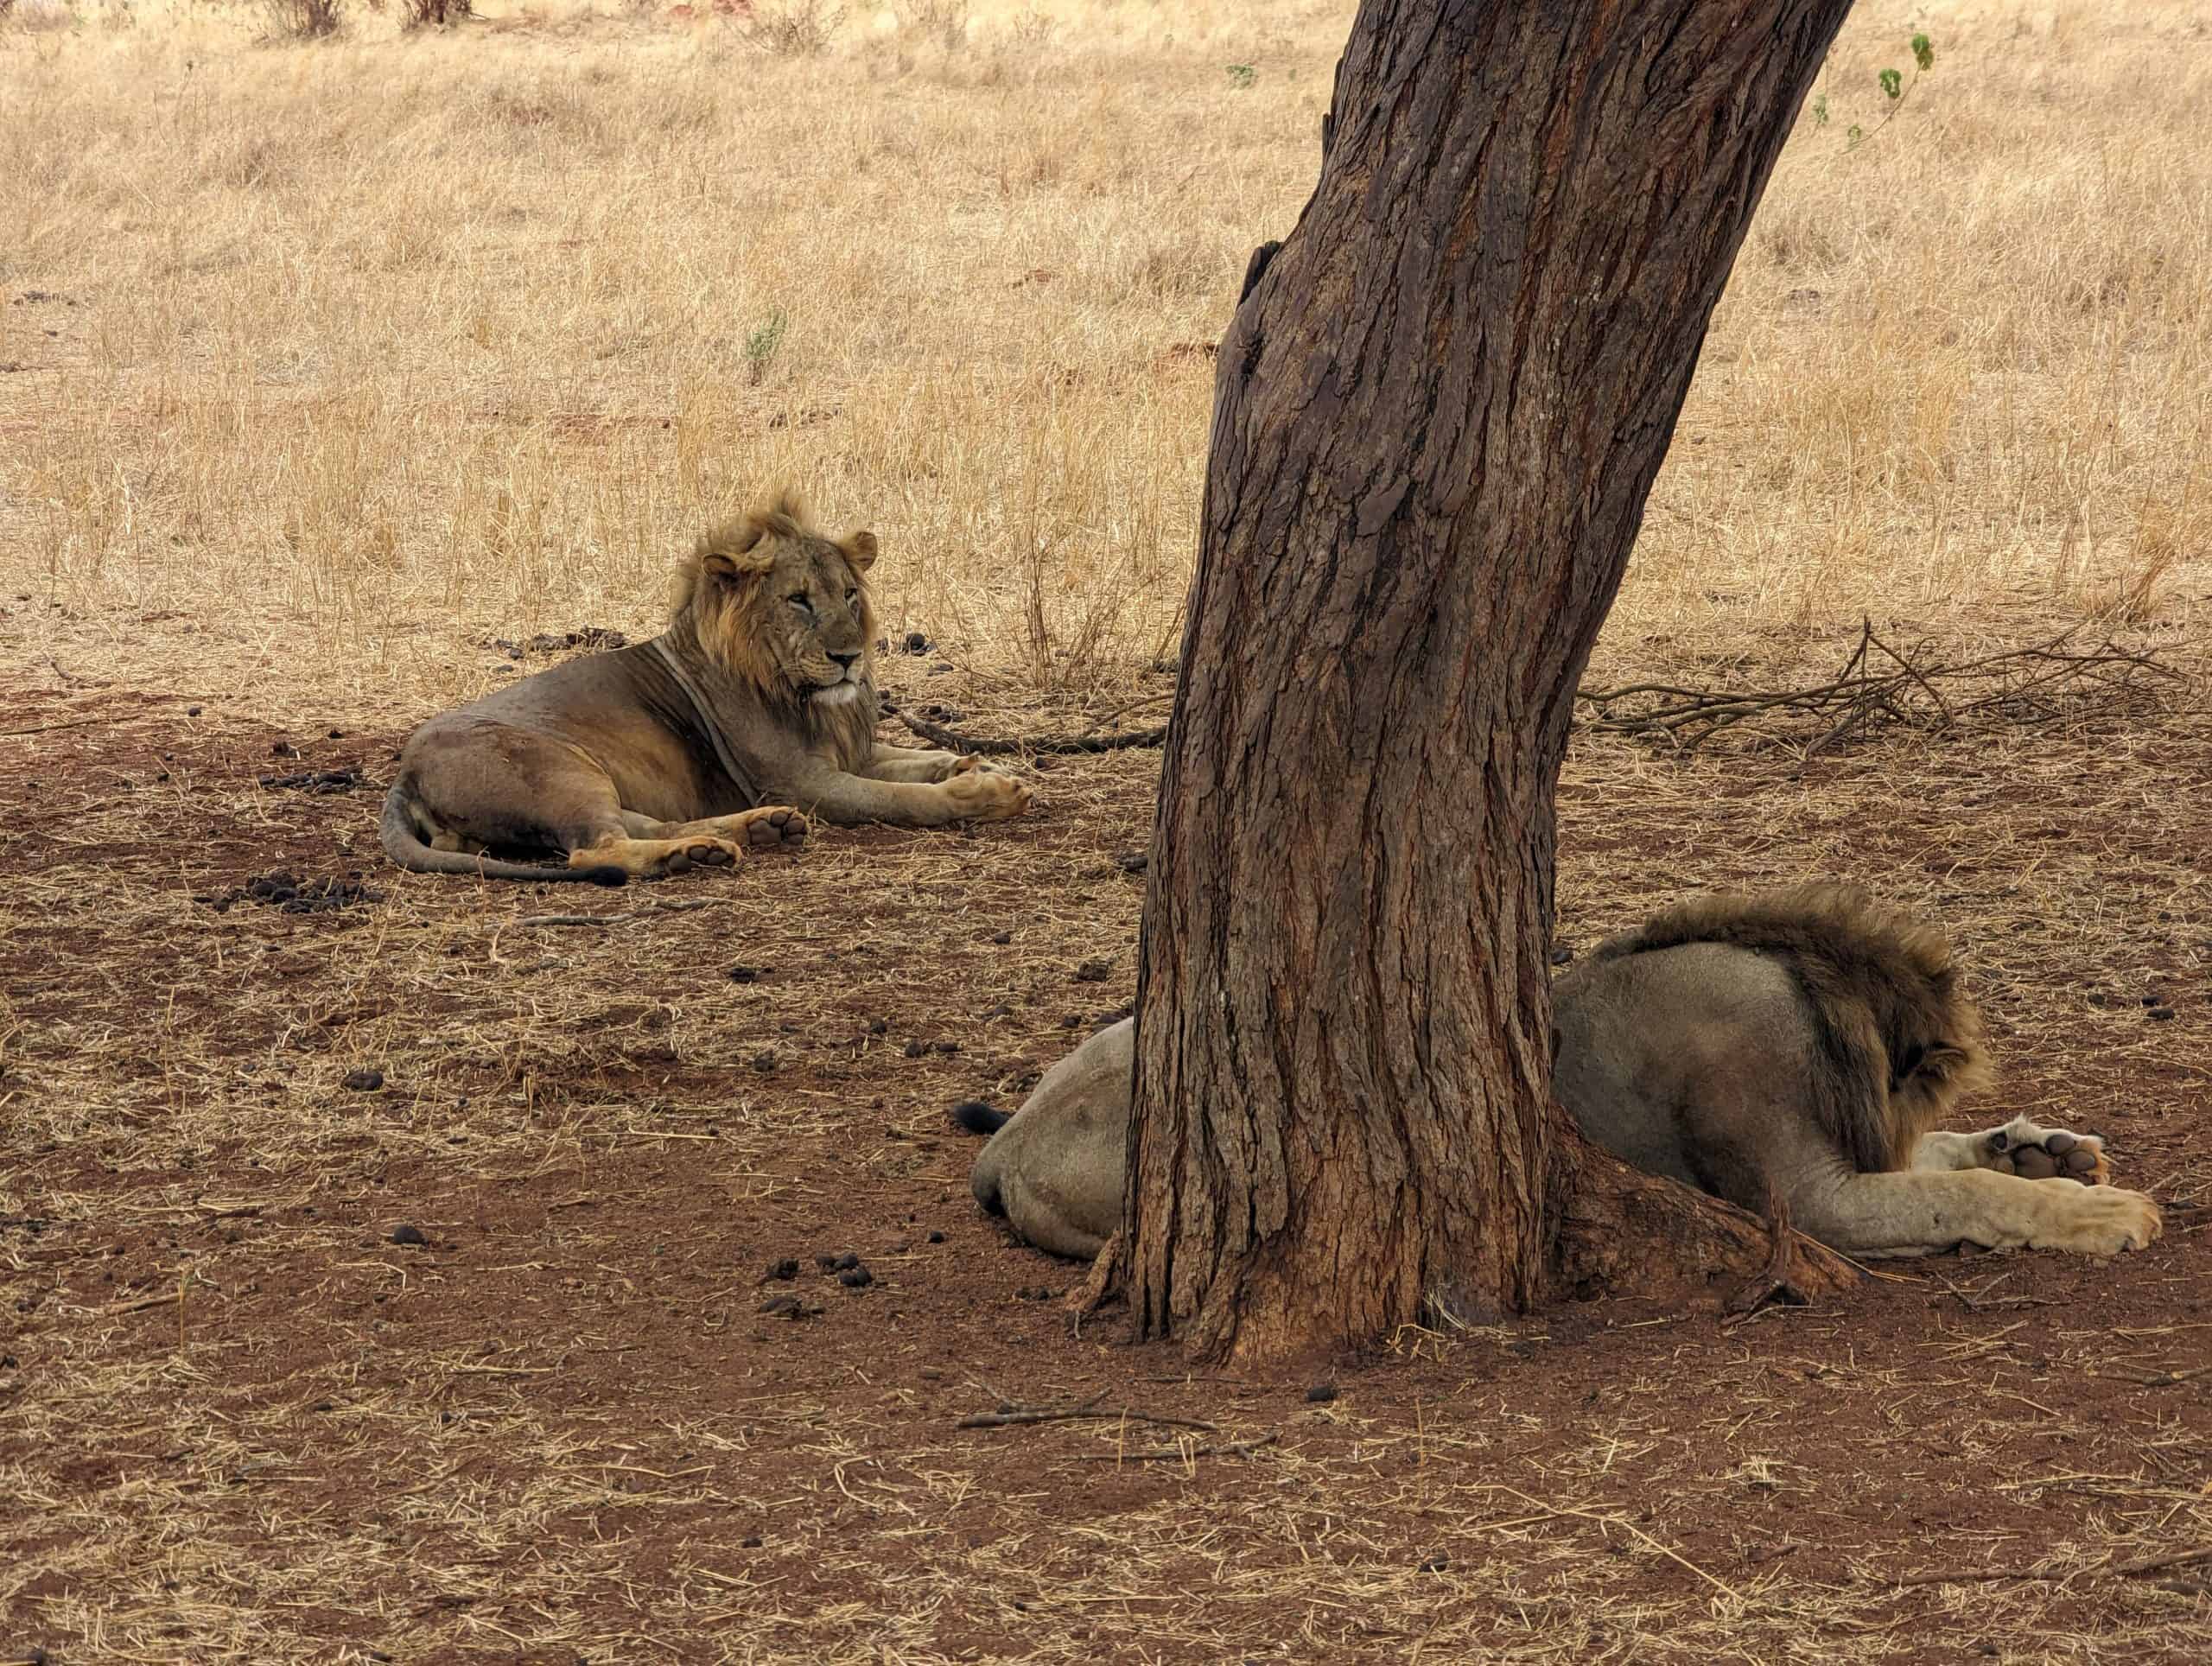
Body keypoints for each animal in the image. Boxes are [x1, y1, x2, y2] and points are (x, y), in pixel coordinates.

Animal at [380, 492, 1034, 884]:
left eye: (850, 594)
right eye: (798, 600)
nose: (848, 657)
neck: (799, 693)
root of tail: (404, 772)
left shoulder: (851, 753)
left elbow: (913, 757)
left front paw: (967, 763)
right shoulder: (804, 780)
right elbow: (904, 798)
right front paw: (986, 792)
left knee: (631, 826)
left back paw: (746, 834)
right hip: (557, 768)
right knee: (597, 848)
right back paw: (693, 855)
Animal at [954, 884, 2162, 1263]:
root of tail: (1006, 1146)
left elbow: (1959, 1155)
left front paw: (2052, 1150)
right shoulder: (1803, 1198)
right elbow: (1961, 1190)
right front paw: (2100, 1214)